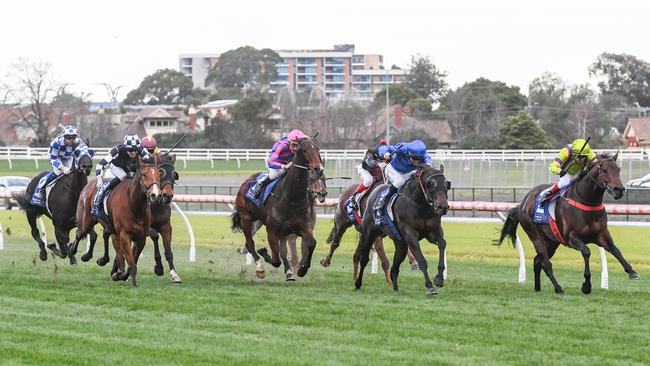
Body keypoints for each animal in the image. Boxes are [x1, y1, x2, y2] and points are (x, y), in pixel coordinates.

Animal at [69, 157, 161, 286]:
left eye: (159, 174)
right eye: (144, 175)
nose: (155, 195)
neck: (134, 205)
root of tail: (88, 185)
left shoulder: (141, 237)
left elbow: (132, 260)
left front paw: (119, 274)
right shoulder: (124, 235)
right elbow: (130, 262)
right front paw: (131, 283)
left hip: (108, 226)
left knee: (105, 235)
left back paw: (100, 259)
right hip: (86, 221)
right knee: (80, 233)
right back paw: (73, 251)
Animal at [230, 137, 326, 280]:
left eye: (318, 149)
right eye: (305, 150)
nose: (318, 169)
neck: (292, 198)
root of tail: (247, 181)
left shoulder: (302, 228)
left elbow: (311, 243)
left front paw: (302, 269)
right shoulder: (272, 231)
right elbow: (276, 260)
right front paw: (263, 252)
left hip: (261, 222)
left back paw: (289, 273)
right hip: (246, 218)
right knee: (250, 243)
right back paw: (260, 267)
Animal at [350, 167, 450, 296]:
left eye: (446, 184)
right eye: (431, 185)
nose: (443, 207)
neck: (419, 205)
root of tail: (374, 190)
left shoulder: (434, 231)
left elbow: (442, 244)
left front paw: (439, 279)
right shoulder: (410, 234)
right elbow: (421, 260)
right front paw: (430, 286)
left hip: (400, 243)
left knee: (394, 268)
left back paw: (396, 290)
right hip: (369, 234)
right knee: (364, 260)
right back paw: (358, 283)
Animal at [496, 153, 636, 296]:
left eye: (618, 170)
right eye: (605, 170)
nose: (619, 190)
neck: (586, 202)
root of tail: (522, 204)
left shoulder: (601, 234)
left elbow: (615, 250)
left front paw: (632, 271)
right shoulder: (571, 238)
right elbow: (587, 251)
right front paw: (586, 285)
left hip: (552, 241)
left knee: (537, 261)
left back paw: (538, 288)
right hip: (536, 236)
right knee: (546, 264)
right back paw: (559, 289)